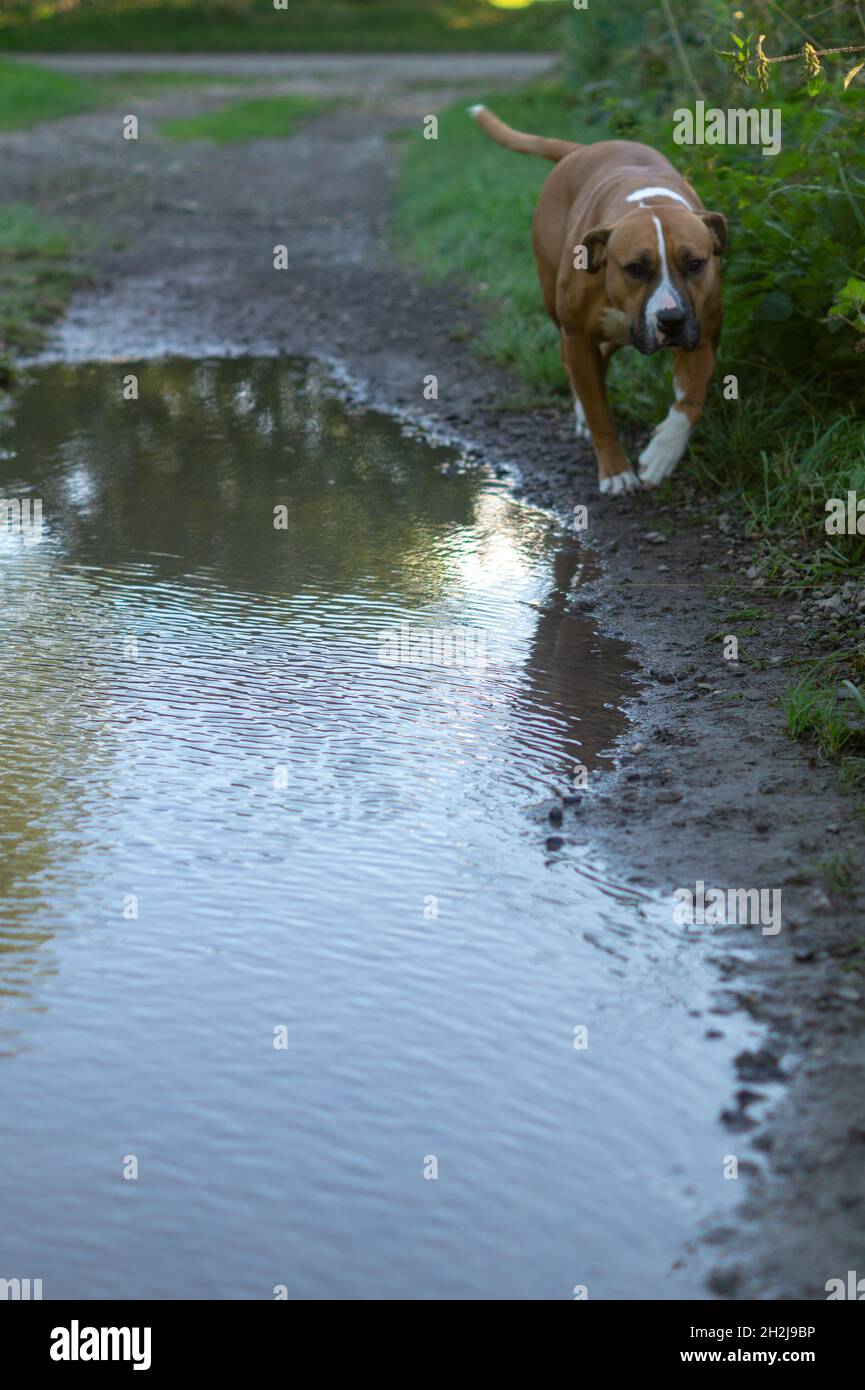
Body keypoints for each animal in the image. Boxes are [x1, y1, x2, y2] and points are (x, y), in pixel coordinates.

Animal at [470, 109, 728, 500]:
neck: (648, 203)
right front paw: (616, 472)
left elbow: (690, 403)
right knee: (571, 364)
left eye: (695, 264)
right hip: (557, 307)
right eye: (635, 268)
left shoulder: (701, 338)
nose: (671, 319)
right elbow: (599, 413)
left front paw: (662, 453)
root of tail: (580, 150)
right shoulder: (577, 337)